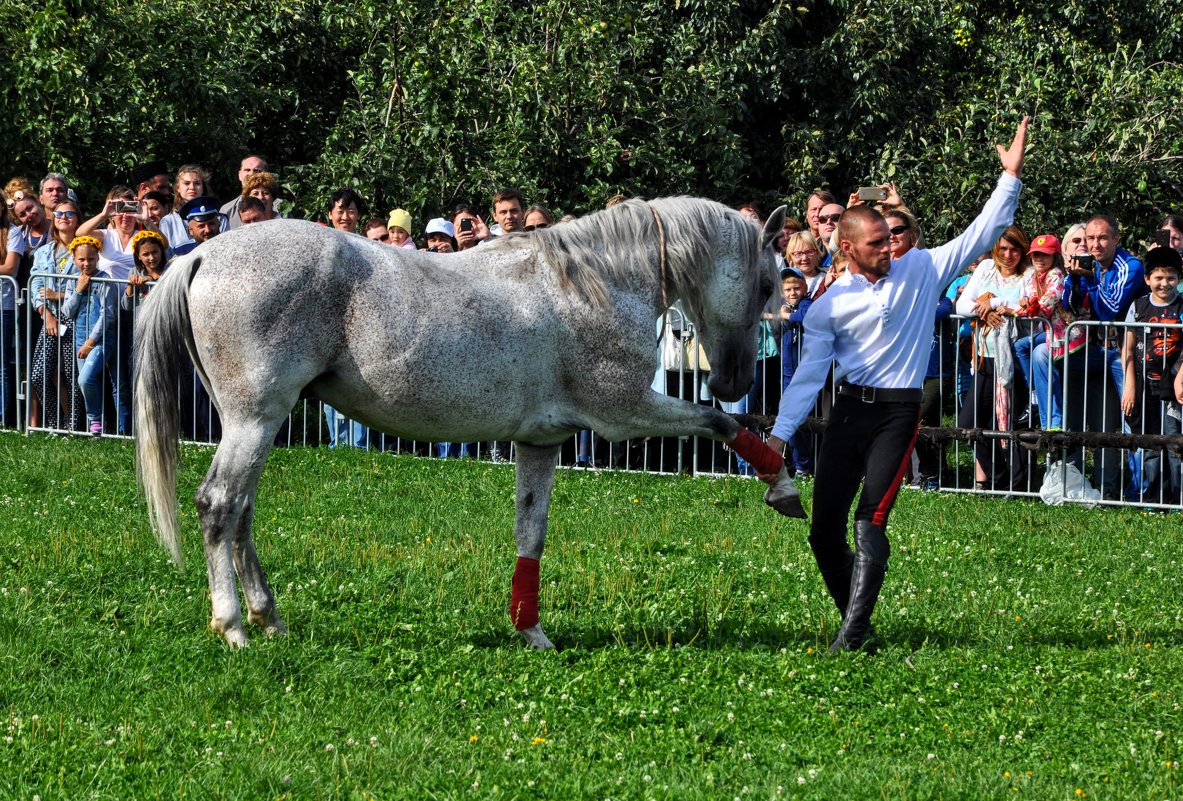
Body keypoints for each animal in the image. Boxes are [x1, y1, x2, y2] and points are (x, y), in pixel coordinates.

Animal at [136, 198, 804, 648]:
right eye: (765, 282)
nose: (734, 382)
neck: (592, 286)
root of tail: (203, 254)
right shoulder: (625, 412)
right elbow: (721, 427)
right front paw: (783, 485)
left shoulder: (543, 441)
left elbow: (531, 533)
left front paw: (531, 631)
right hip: (255, 419)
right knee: (220, 505)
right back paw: (233, 627)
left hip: (255, 423)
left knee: (242, 512)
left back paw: (268, 617)